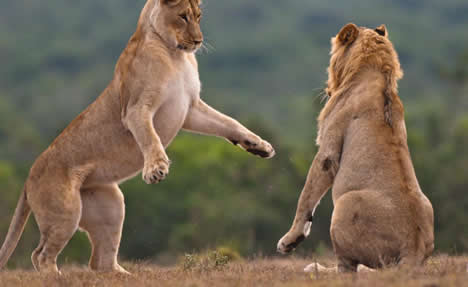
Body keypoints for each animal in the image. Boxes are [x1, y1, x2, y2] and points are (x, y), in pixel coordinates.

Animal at [0, 0, 274, 274]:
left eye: (198, 17)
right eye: (183, 17)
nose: (198, 41)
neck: (176, 55)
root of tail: (28, 177)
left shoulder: (191, 109)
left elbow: (229, 122)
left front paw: (259, 146)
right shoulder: (136, 109)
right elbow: (150, 138)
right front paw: (156, 169)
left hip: (110, 205)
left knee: (100, 262)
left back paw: (125, 276)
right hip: (65, 210)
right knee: (40, 255)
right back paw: (58, 277)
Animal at [278, 24, 436, 272]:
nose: (327, 88)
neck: (378, 73)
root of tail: (414, 247)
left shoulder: (327, 151)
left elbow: (306, 196)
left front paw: (289, 241)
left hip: (345, 203)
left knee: (348, 267)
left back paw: (319, 269)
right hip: (427, 204)